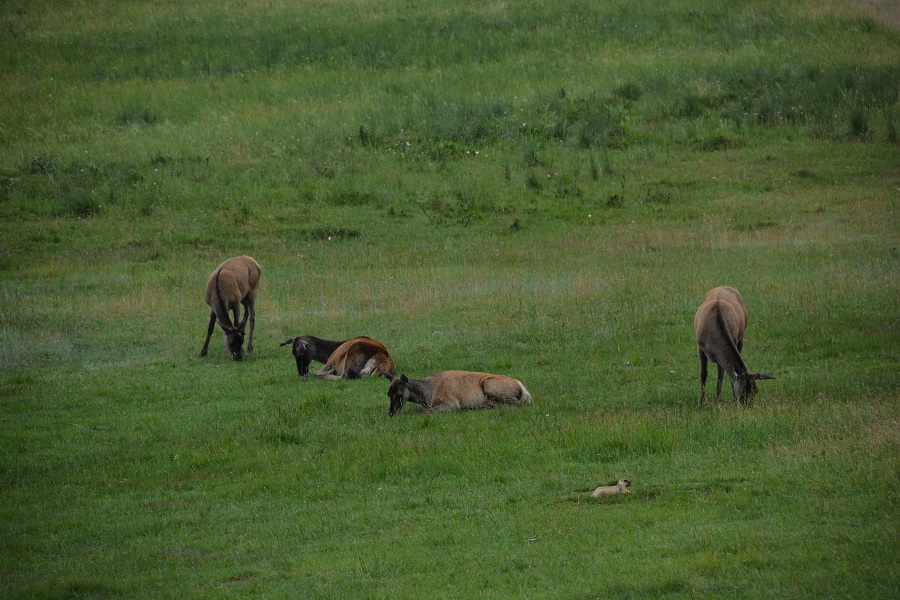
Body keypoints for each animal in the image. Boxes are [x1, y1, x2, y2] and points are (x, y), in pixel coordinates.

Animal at [384, 370, 532, 418]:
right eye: (388, 394)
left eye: (399, 394)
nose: (391, 412)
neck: (428, 395)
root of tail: (525, 391)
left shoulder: (451, 402)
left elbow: (425, 411)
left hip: (489, 385)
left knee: (514, 403)